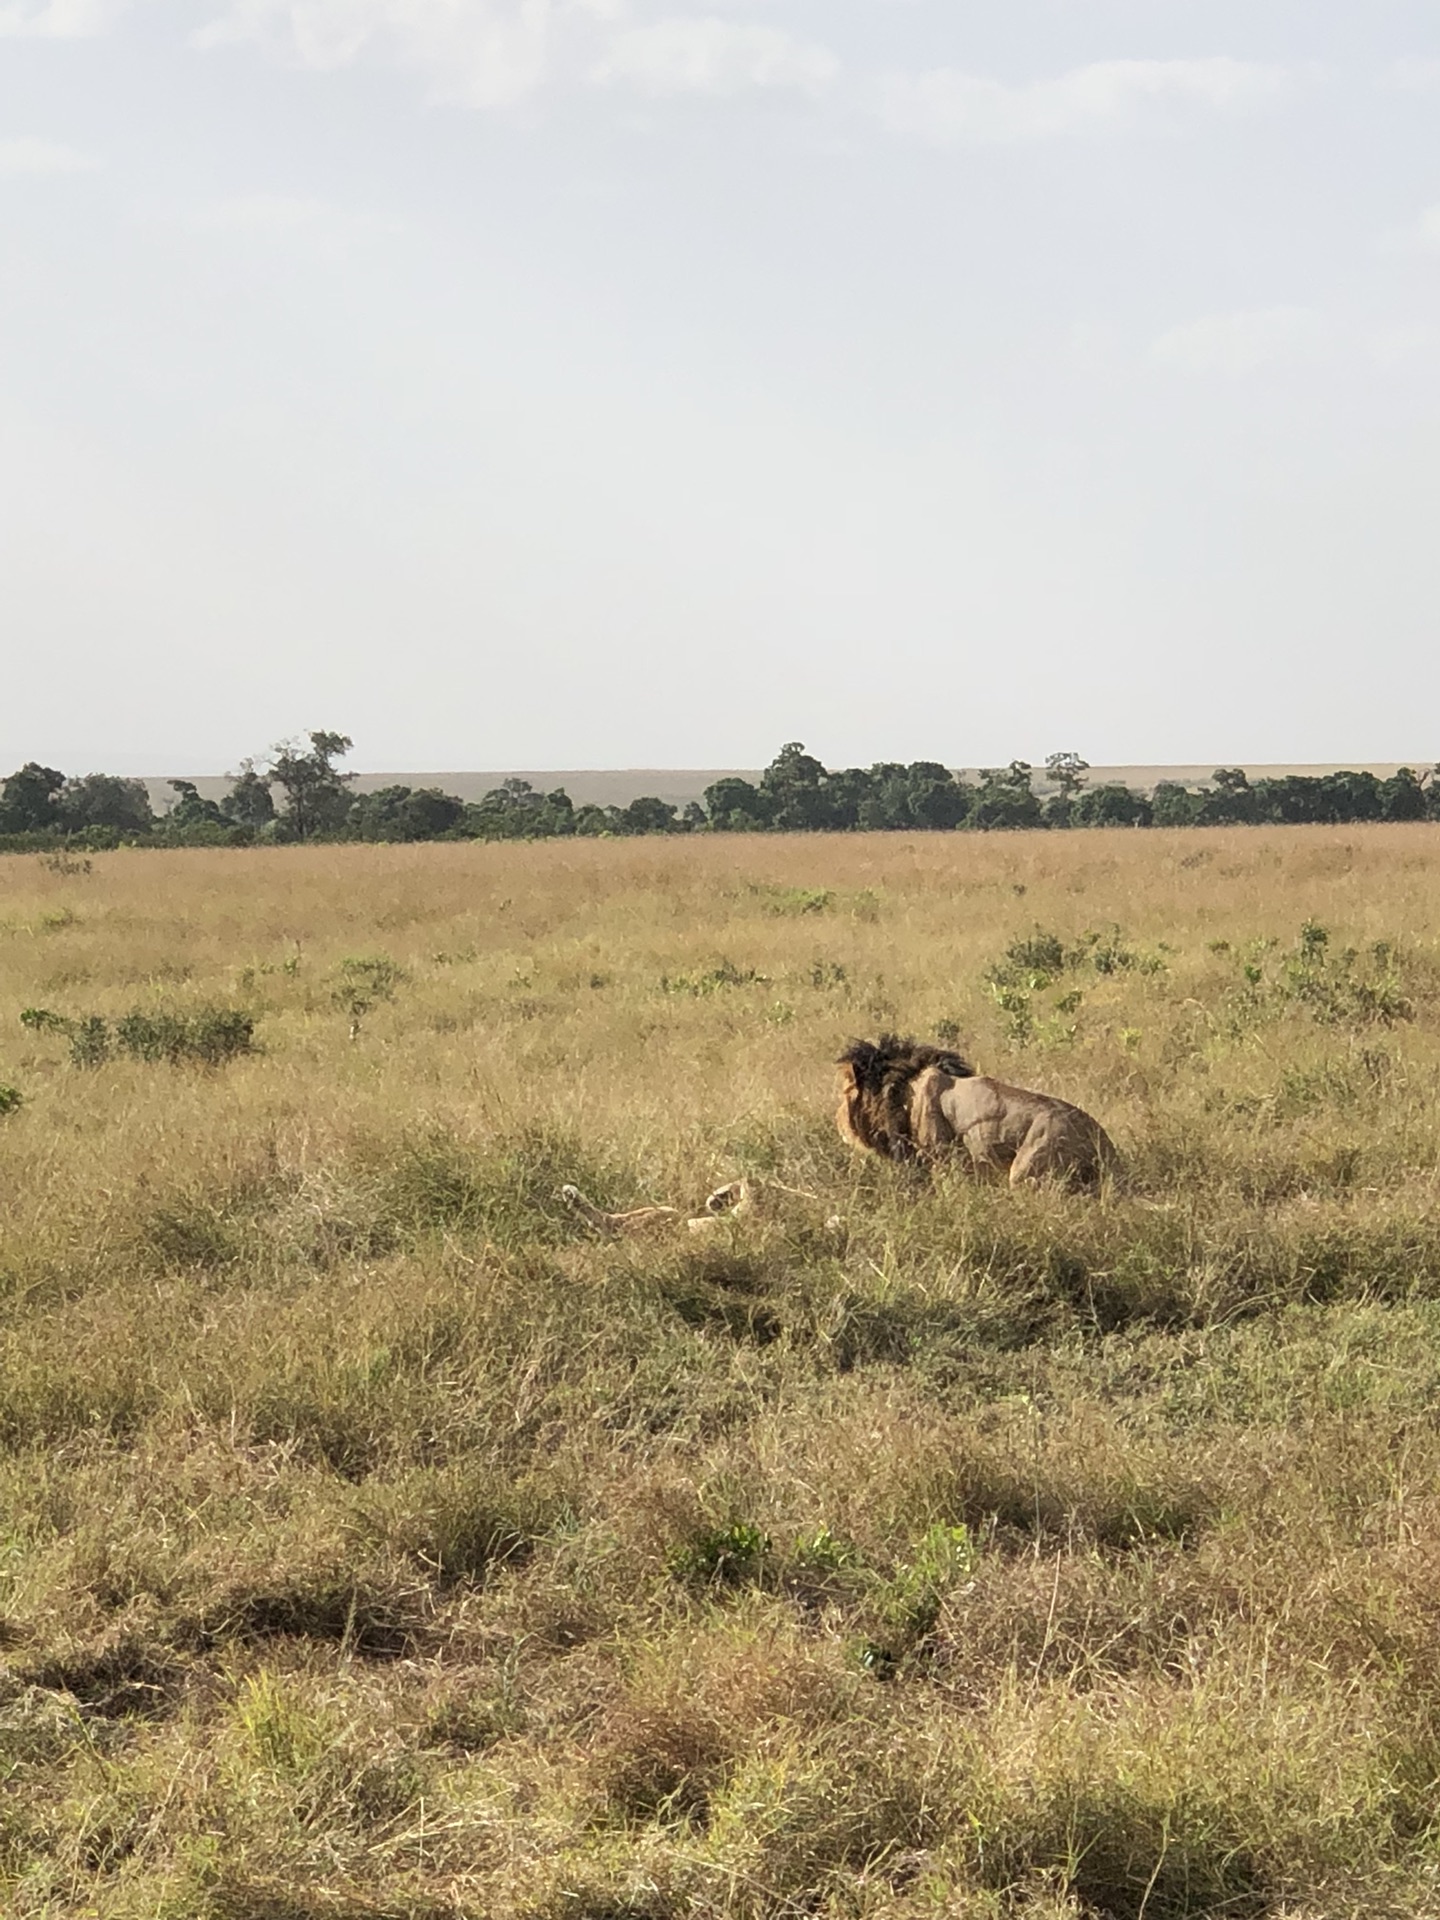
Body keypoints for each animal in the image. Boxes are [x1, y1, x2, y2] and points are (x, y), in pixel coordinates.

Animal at [840, 1036, 1121, 1182]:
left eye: (845, 1093)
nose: (839, 1122)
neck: (903, 1088)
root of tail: (1104, 1144)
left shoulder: (942, 1157)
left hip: (1029, 1166)